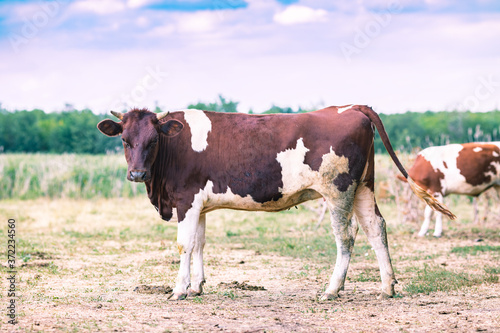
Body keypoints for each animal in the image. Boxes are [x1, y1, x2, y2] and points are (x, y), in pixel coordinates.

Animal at [96, 105, 454, 300]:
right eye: (125, 140)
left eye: (153, 139)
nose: (137, 173)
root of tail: (351, 106)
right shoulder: (199, 205)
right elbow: (199, 244)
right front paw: (197, 286)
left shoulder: (186, 199)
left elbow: (184, 244)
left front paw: (180, 289)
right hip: (364, 187)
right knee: (375, 228)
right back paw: (387, 286)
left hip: (338, 191)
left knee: (346, 236)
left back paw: (332, 289)